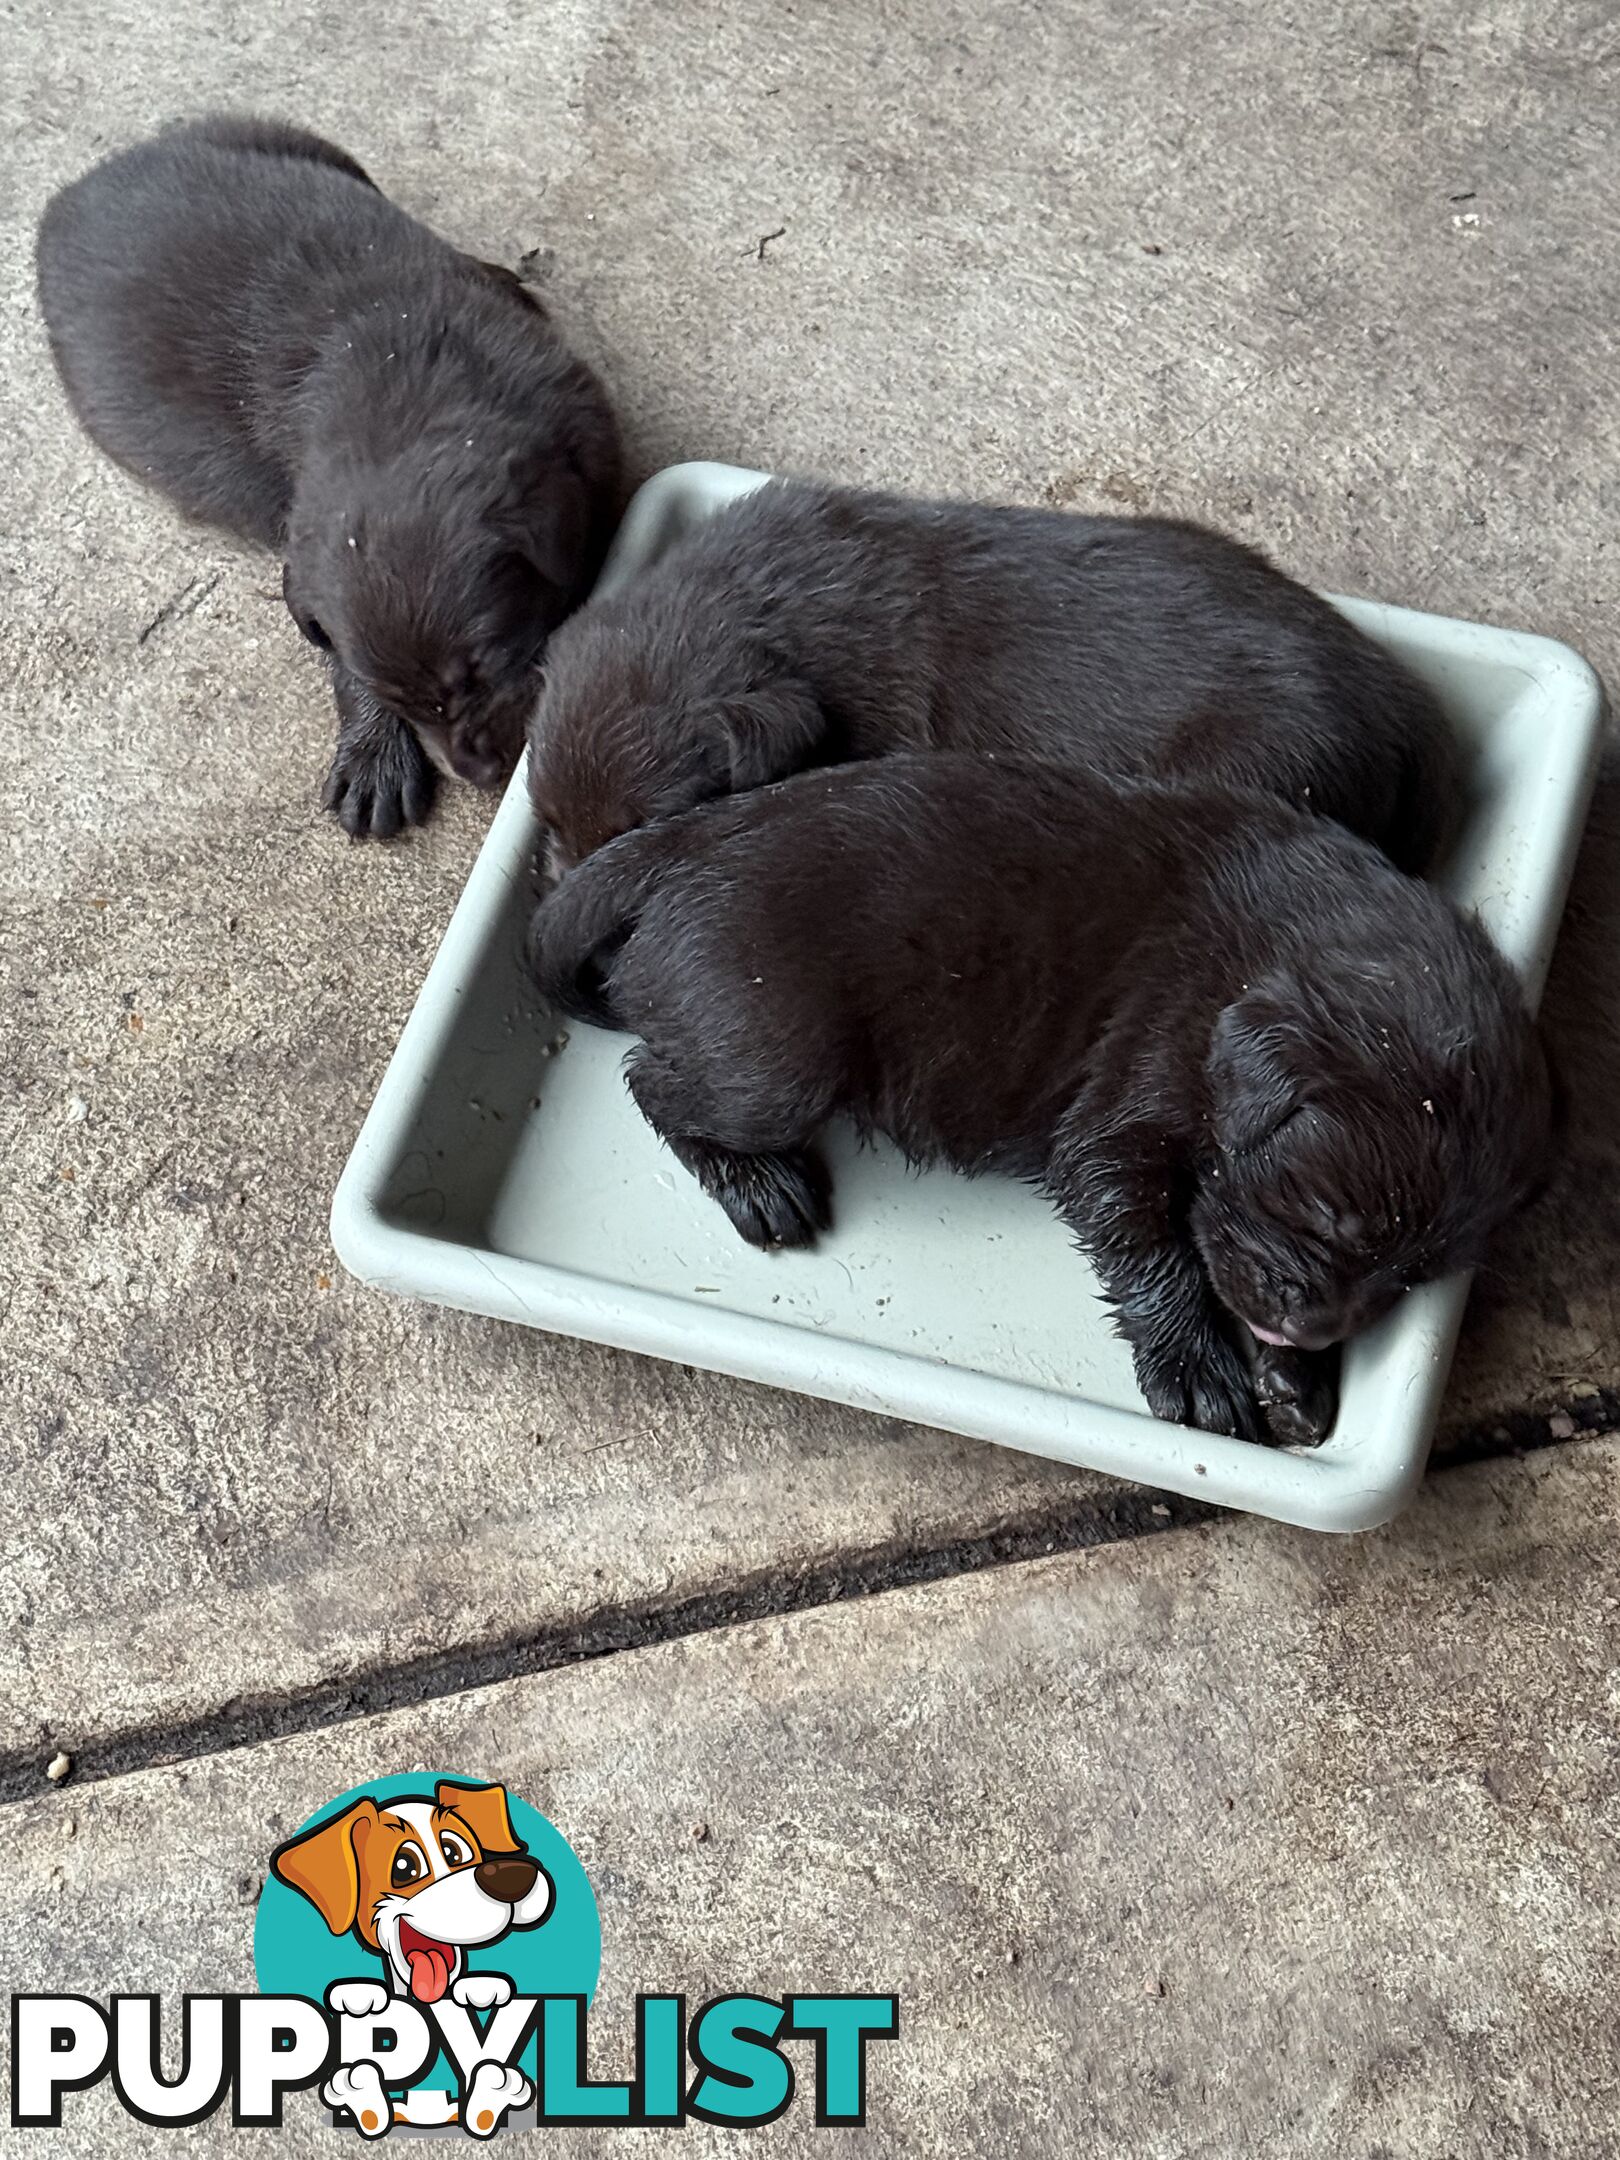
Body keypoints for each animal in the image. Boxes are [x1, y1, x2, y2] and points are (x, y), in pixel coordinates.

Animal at [39, 109, 622, 838]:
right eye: (397, 699)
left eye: (483, 665)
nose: (485, 774)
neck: (402, 365)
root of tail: (71, 193)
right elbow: (337, 656)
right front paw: (376, 759)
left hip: (306, 144)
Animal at [533, 751, 1563, 1442]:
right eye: (1319, 1211)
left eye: (1414, 1277)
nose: (1310, 1327)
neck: (1271, 958)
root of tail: (684, 839)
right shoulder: (1114, 1128)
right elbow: (1157, 1256)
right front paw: (1202, 1374)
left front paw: (1295, 1381)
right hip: (775, 1057)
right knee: (653, 1080)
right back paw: (760, 1185)